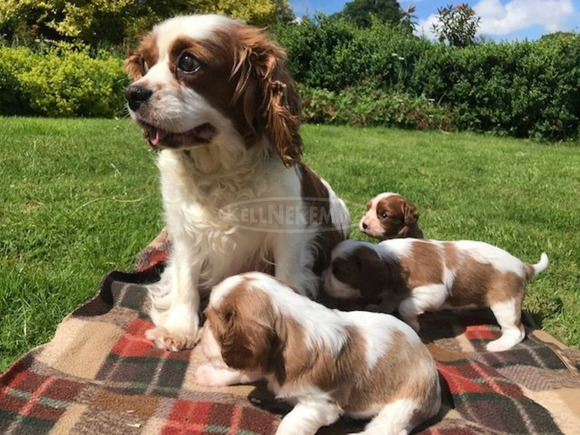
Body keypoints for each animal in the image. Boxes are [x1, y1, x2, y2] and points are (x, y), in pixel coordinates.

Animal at [123, 15, 348, 352]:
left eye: (188, 62)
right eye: (146, 64)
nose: (132, 94)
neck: (219, 170)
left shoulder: (288, 235)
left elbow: (287, 279)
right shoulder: (185, 233)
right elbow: (185, 280)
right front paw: (179, 328)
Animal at [195, 272, 440, 435]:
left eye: (213, 325)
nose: (201, 335)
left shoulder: (319, 404)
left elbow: (289, 424)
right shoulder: (265, 361)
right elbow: (243, 370)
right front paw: (208, 375)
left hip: (406, 402)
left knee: (386, 428)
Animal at [326, 237, 548, 352]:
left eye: (338, 272)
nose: (322, 279)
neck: (389, 258)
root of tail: (523, 266)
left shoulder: (434, 290)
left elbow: (405, 305)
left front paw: (414, 325)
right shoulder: (397, 289)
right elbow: (392, 299)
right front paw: (379, 307)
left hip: (505, 304)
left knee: (517, 330)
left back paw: (499, 345)